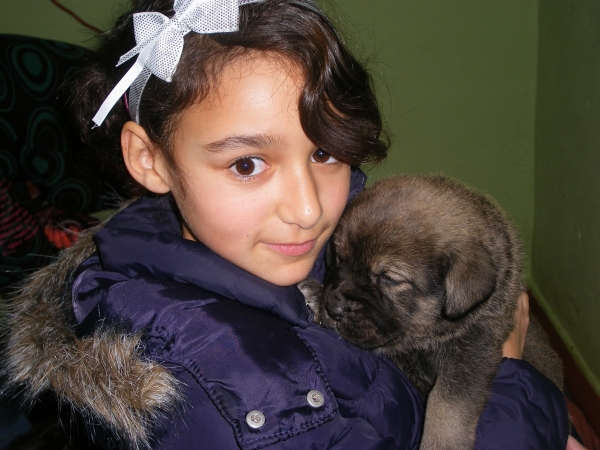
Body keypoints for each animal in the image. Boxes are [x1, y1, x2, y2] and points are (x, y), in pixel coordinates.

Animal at [302, 174, 564, 450]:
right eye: (339, 258)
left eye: (389, 279)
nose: (333, 308)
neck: (428, 332)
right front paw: (316, 296)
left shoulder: (472, 352)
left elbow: (447, 407)